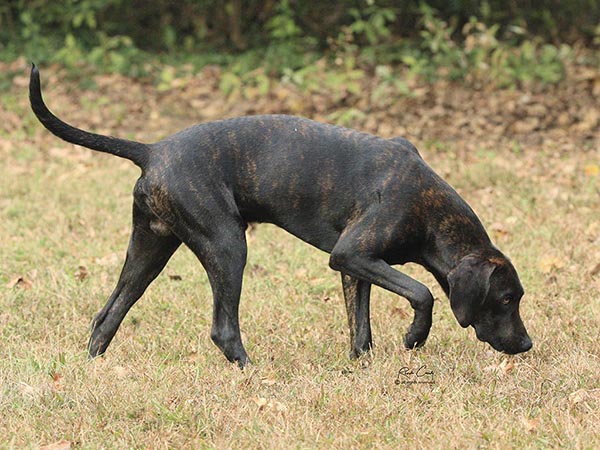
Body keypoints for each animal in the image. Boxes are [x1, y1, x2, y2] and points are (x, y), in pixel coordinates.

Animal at [30, 64, 532, 366]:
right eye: (508, 298)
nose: (527, 344)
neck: (428, 208)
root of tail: (152, 150)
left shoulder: (354, 267)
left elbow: (361, 328)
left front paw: (363, 368)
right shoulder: (352, 256)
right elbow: (422, 292)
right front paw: (414, 337)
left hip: (149, 250)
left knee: (107, 314)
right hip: (227, 246)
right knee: (223, 329)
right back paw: (251, 372)